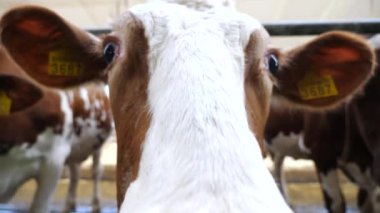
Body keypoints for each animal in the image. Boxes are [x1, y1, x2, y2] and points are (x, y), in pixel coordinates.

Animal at [0, 45, 113, 213]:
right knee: (75, 172)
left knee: (96, 171)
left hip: (97, 141)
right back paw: (69, 205)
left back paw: (96, 204)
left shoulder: (54, 159)